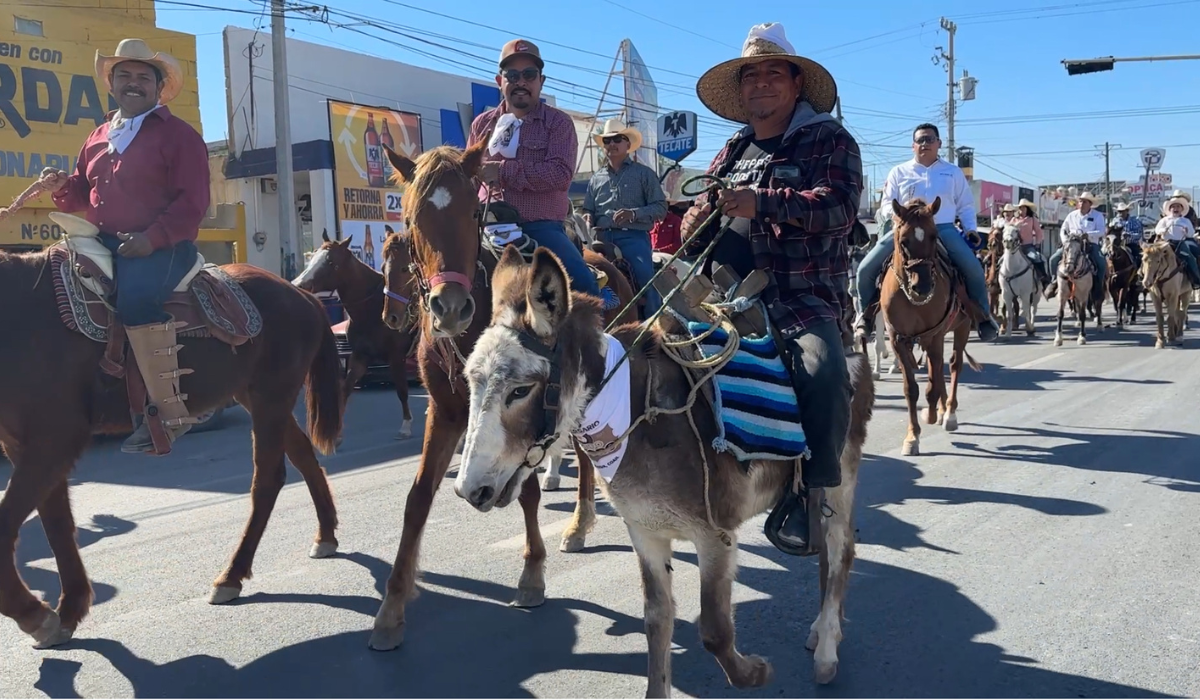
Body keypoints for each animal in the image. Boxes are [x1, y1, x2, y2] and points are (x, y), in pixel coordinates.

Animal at [0, 249, 343, 648]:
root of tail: (300, 294)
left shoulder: (54, 441)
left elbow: (10, 525)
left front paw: (35, 615)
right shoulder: (27, 446)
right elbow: (56, 523)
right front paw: (68, 611)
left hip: (271, 396)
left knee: (267, 480)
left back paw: (231, 576)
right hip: (257, 396)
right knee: (302, 455)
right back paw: (325, 536)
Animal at [292, 230, 420, 437]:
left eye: (330, 261)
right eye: (313, 257)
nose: (297, 284)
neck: (372, 309)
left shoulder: (396, 356)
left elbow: (402, 390)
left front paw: (406, 425)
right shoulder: (361, 356)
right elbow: (346, 388)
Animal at [369, 142, 638, 653]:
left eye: (472, 211)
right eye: (411, 219)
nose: (450, 308)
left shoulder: (527, 415)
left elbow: (526, 491)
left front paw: (532, 576)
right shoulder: (447, 412)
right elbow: (418, 498)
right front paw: (390, 609)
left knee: (586, 457)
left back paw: (578, 523)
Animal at [878, 198, 979, 461]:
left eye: (934, 236)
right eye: (903, 240)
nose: (922, 286)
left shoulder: (934, 335)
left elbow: (932, 387)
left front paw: (932, 415)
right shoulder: (898, 339)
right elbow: (911, 389)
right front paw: (912, 437)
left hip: (961, 328)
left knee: (954, 365)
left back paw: (949, 413)